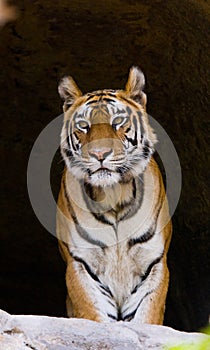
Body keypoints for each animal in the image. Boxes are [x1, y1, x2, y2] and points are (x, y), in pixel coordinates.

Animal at [56, 67, 172, 324]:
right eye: (83, 125)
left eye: (117, 121)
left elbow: (146, 318)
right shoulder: (81, 263)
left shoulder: (153, 263)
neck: (114, 196)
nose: (100, 154)